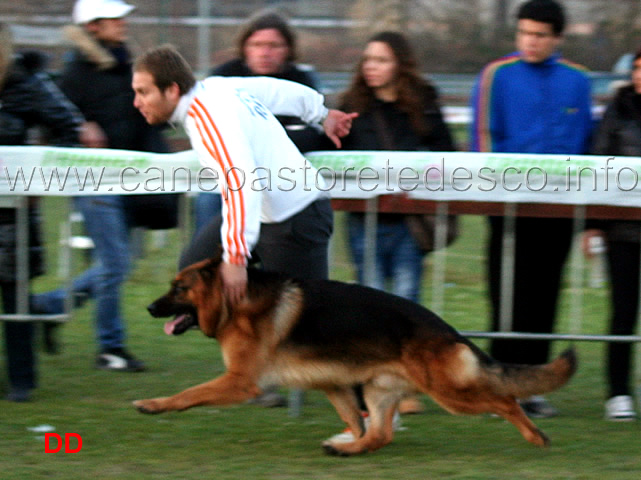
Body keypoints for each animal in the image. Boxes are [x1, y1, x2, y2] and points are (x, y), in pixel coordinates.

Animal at [134, 256, 576, 456]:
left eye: (179, 288)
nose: (149, 308)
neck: (236, 301)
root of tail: (451, 333)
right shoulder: (334, 384)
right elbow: (355, 420)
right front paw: (348, 436)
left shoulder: (239, 382)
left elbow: (189, 394)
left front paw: (154, 404)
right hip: (381, 389)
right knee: (379, 434)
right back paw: (347, 449)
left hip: (451, 393)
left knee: (506, 399)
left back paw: (534, 435)